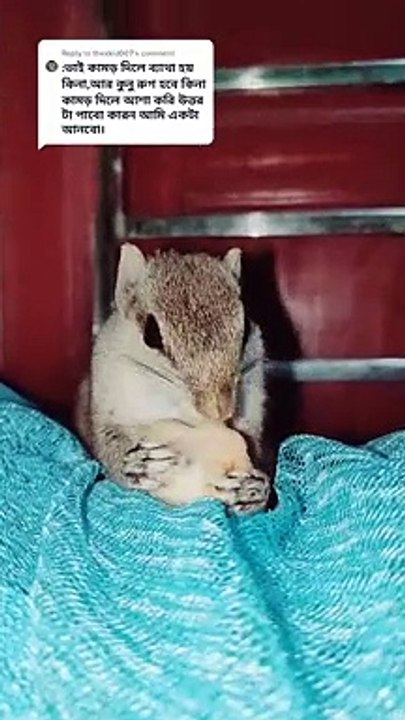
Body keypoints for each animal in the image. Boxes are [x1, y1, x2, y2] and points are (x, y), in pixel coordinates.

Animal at [74, 243, 271, 513]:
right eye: (151, 333)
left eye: (247, 330)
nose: (217, 411)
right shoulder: (106, 407)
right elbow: (108, 446)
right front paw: (139, 463)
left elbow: (254, 443)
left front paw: (256, 490)